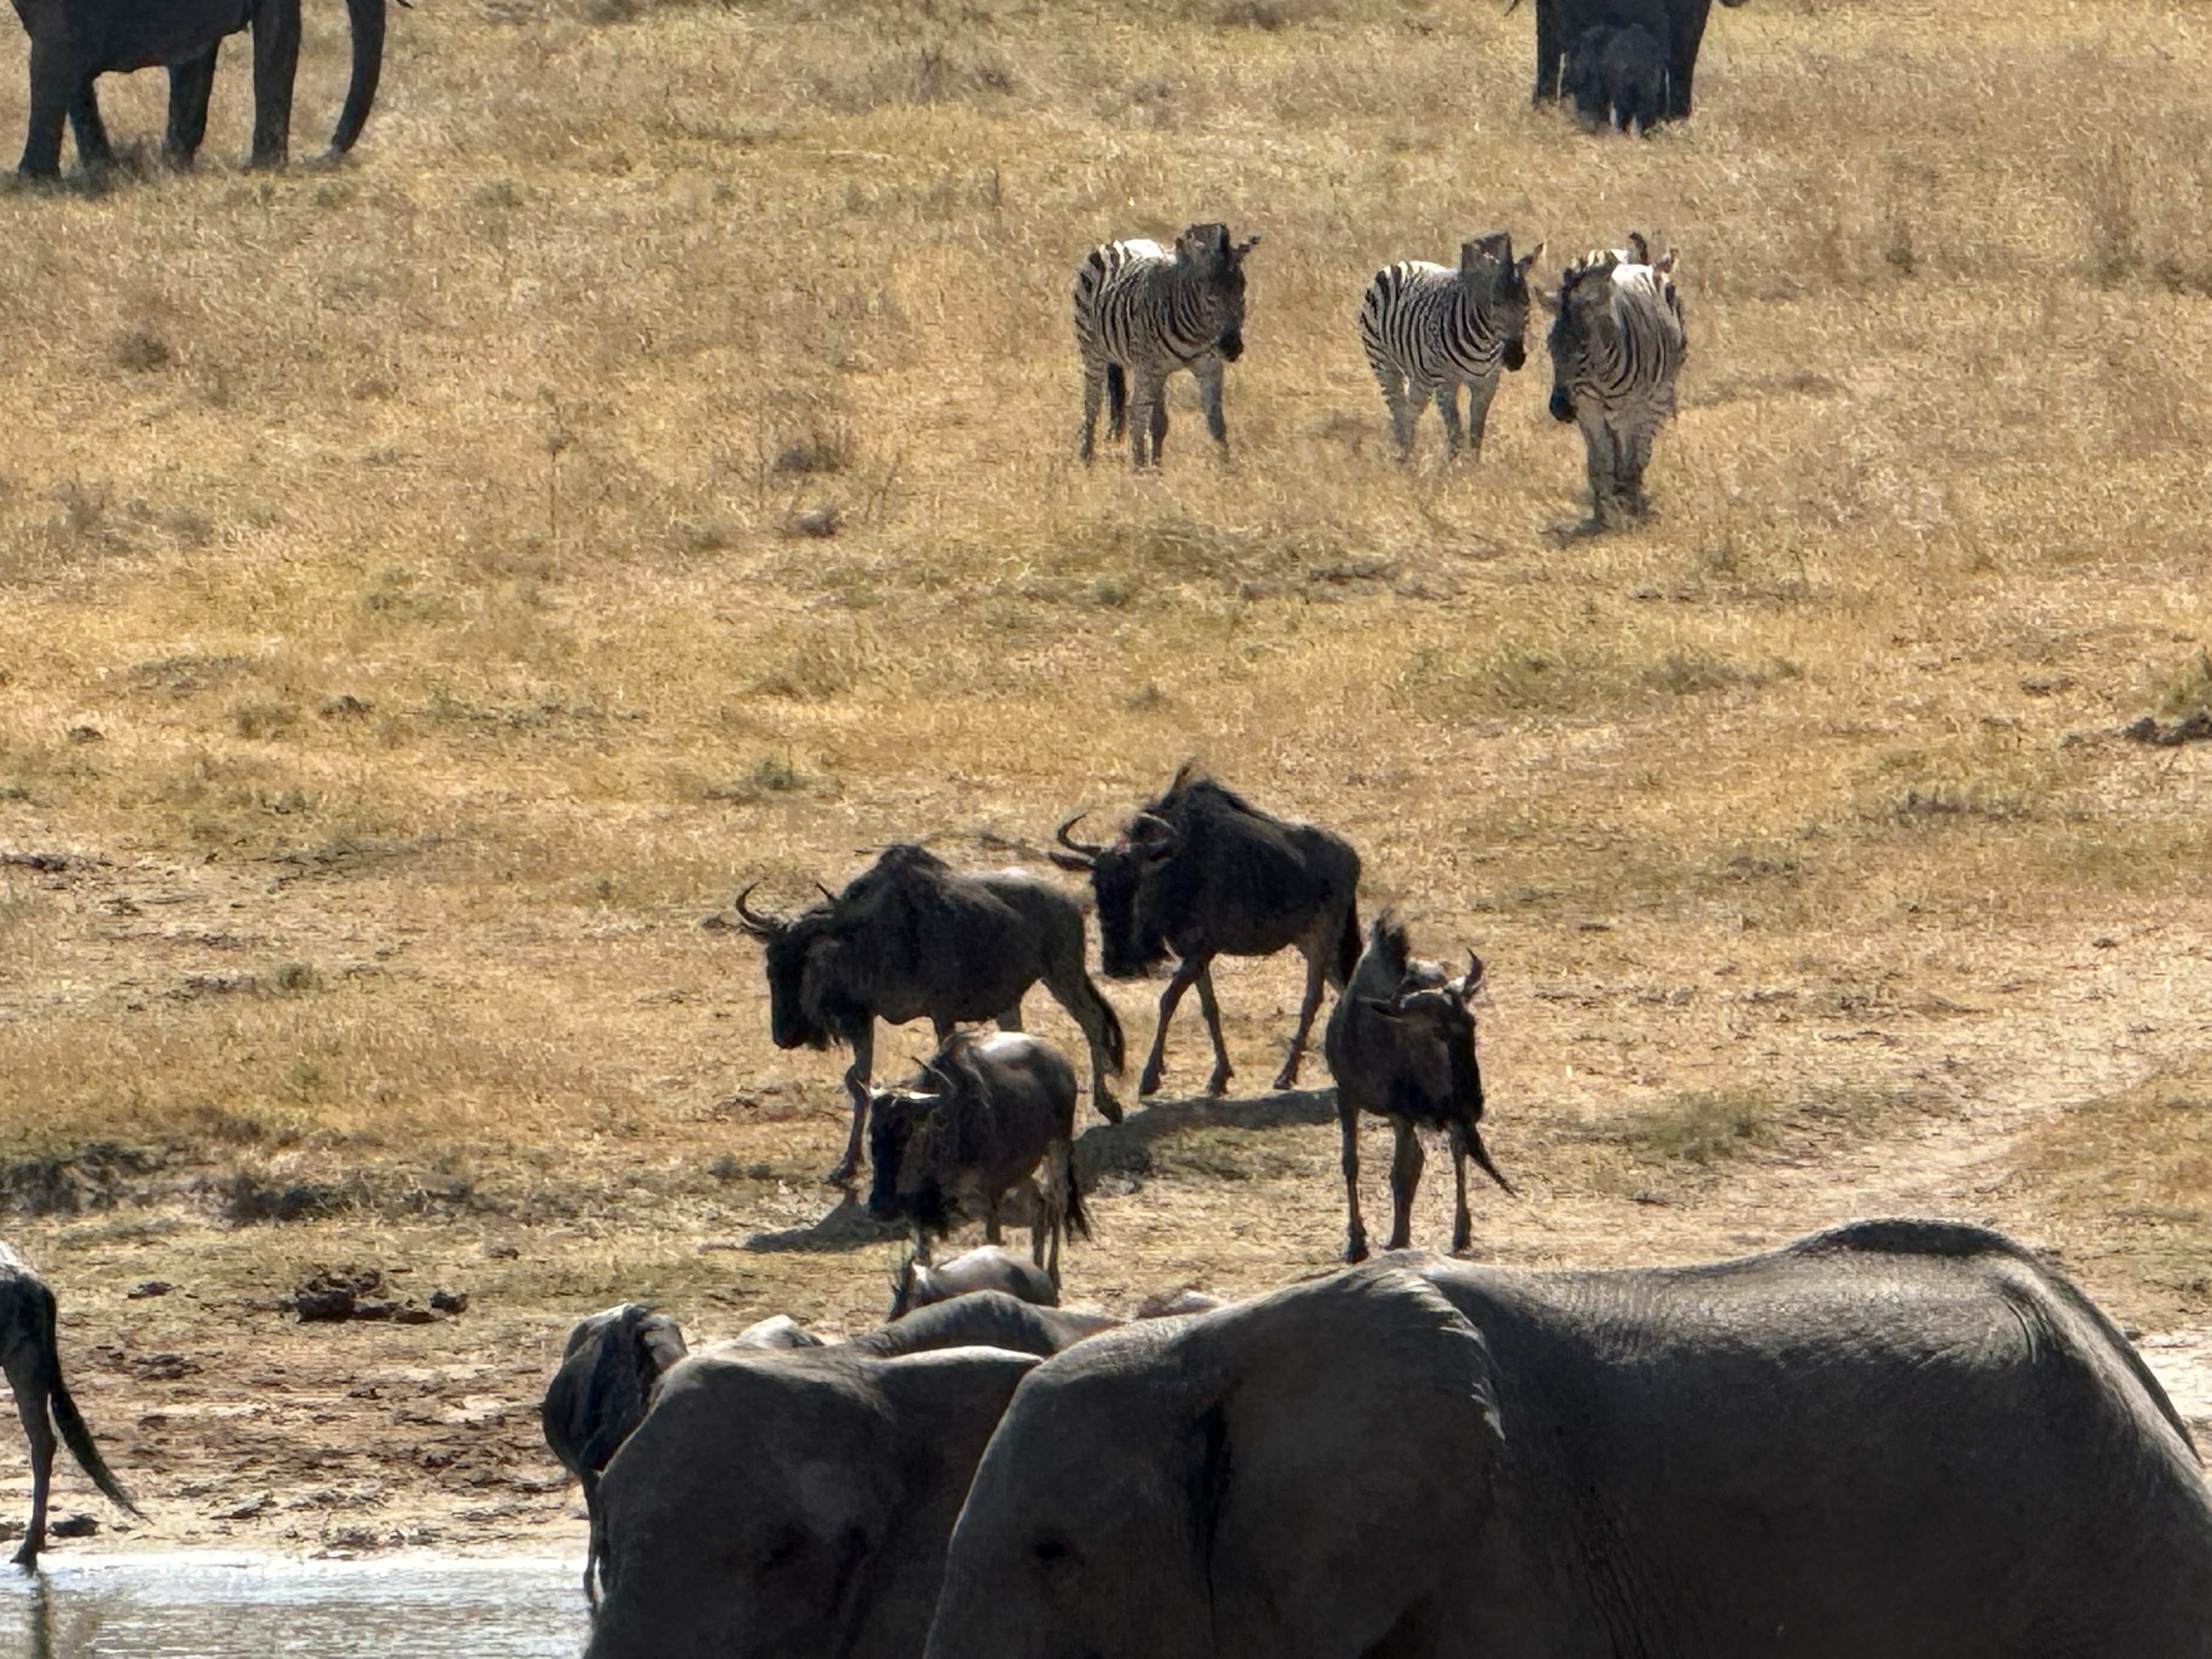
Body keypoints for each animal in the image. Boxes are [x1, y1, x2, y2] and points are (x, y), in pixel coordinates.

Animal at [10, 0, 386, 179]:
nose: (328, 150)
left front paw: (175, 165)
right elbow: (279, 31)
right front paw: (265, 170)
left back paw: (103, 168)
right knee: (56, 54)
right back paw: (36, 178)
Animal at [1073, 223, 1261, 468]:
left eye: (1242, 290)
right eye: (1209, 296)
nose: (1231, 348)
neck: (1197, 333)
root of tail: (1122, 243)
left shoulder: (1210, 368)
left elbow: (1217, 423)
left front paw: (1226, 469)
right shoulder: (1147, 367)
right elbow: (1137, 415)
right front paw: (1139, 470)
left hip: (1156, 373)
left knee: (1157, 418)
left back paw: (1156, 465)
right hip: (1094, 350)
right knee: (1093, 404)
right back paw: (1086, 459)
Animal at [1359, 231, 1543, 463]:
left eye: (1527, 304)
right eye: (1496, 305)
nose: (1515, 359)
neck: (1485, 342)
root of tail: (1400, 264)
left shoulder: (1487, 384)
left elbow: (1476, 432)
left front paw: (1474, 465)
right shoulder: (1445, 383)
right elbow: (1455, 430)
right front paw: (1453, 466)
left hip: (1421, 375)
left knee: (1411, 408)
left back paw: (1409, 451)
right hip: (1383, 362)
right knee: (1397, 406)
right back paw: (1404, 454)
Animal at [1544, 233, 1686, 528]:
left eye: (1584, 349)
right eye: (1550, 347)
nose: (1559, 409)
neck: (1601, 373)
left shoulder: (1635, 406)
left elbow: (1631, 455)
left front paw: (1628, 504)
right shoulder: (1588, 406)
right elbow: (1601, 459)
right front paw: (1604, 510)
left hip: (1655, 398)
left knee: (1640, 447)